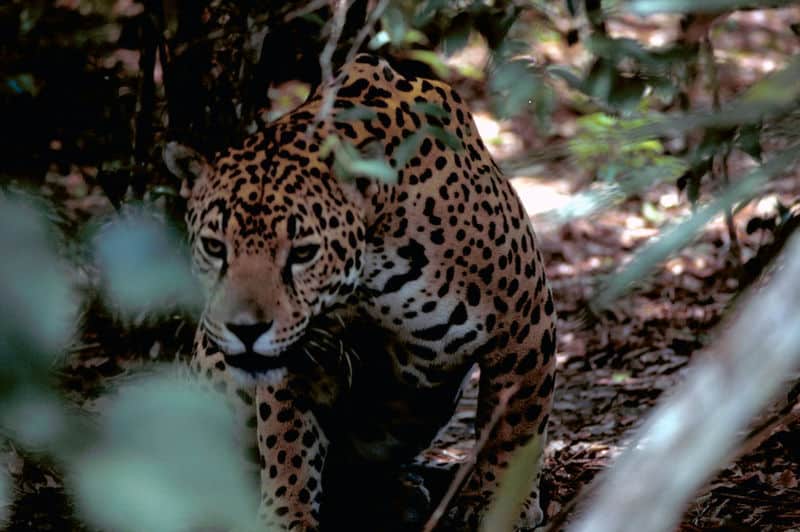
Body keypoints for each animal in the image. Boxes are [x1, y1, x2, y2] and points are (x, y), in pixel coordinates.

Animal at [164, 53, 556, 531]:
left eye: (303, 252)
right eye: (215, 247)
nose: (246, 330)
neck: (370, 277)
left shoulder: (525, 323)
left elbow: (514, 428)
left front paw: (499, 505)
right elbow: (286, 437)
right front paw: (286, 514)